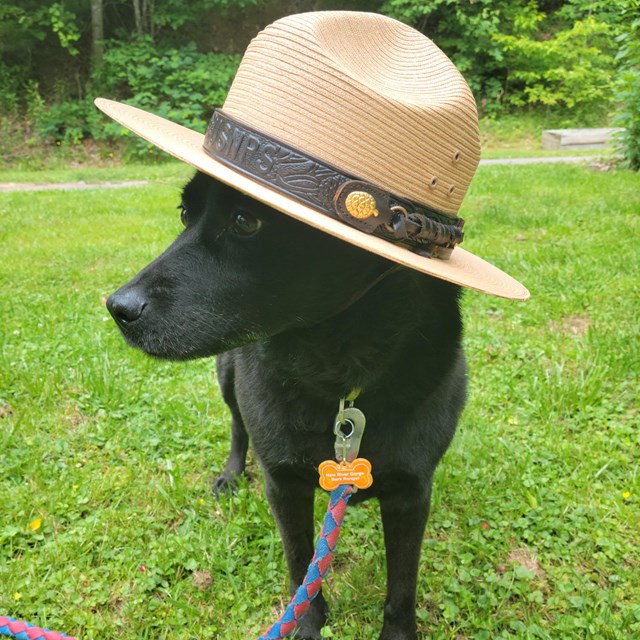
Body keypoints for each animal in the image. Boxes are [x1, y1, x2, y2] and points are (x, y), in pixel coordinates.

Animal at [106, 171, 464, 640]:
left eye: (245, 221)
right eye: (185, 213)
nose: (117, 307)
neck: (341, 382)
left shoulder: (412, 492)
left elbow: (402, 585)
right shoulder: (284, 483)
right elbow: (300, 563)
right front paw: (306, 624)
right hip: (228, 376)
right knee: (238, 427)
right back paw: (231, 476)